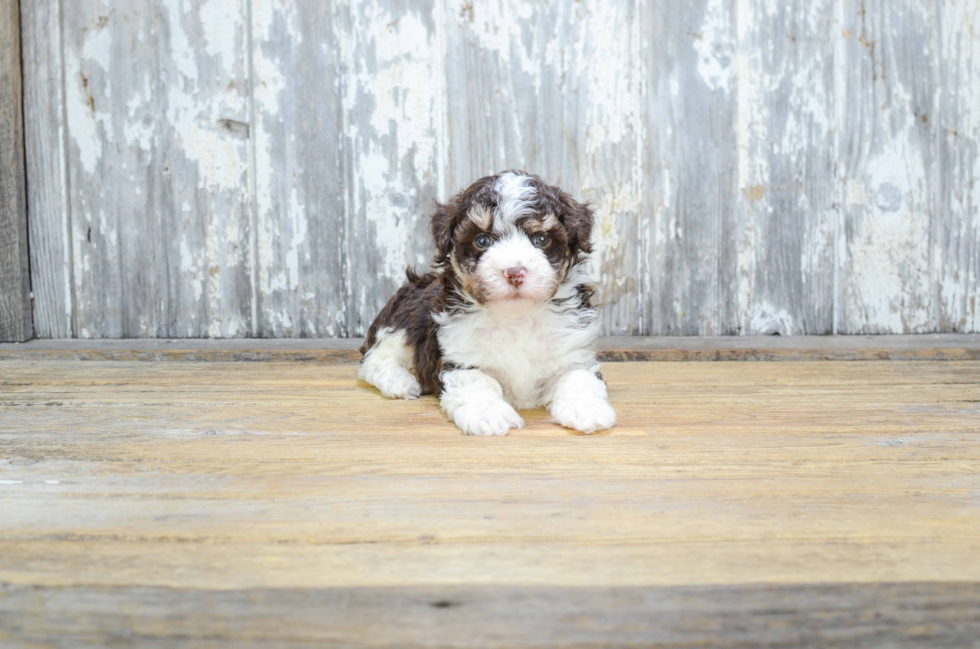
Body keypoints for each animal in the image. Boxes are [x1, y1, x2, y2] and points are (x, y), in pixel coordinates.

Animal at [360, 171, 616, 436]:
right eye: (482, 241)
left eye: (541, 239)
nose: (514, 272)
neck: (517, 316)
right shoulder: (459, 359)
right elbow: (477, 382)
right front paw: (488, 414)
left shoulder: (573, 352)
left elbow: (577, 377)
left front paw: (587, 410)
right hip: (404, 319)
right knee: (374, 359)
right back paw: (399, 382)